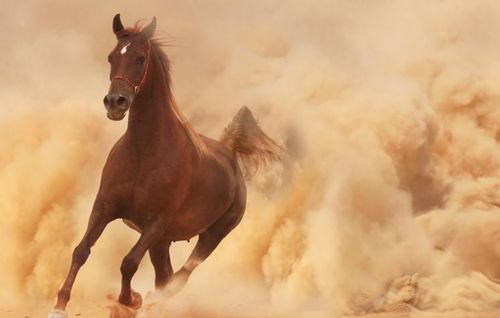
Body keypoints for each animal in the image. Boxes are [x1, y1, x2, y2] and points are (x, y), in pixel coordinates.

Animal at [48, 13, 284, 318]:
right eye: (111, 57)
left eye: (139, 58)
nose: (115, 102)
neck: (143, 151)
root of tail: (229, 153)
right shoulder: (104, 207)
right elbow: (81, 250)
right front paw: (59, 306)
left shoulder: (156, 223)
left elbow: (128, 262)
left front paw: (130, 300)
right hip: (161, 244)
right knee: (166, 276)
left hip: (211, 236)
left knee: (178, 278)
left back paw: (151, 301)